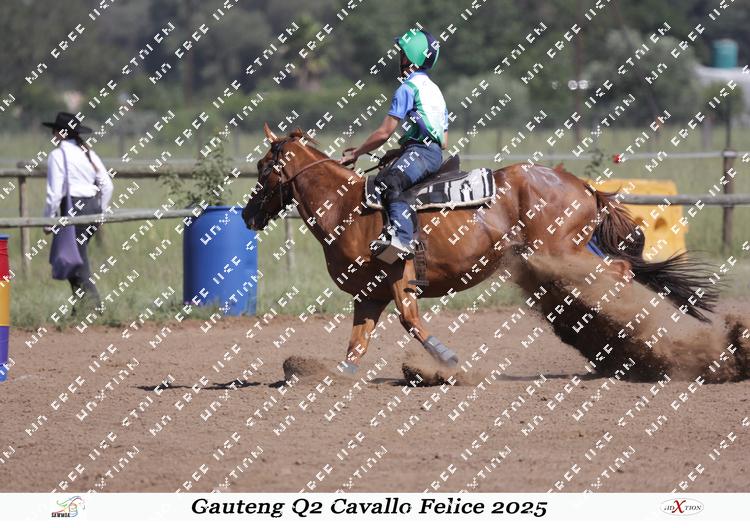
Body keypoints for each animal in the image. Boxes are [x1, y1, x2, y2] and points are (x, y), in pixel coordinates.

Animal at [242, 124, 719, 373]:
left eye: (264, 167)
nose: (246, 215)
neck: (350, 208)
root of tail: (585, 187)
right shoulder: (369, 294)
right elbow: (357, 343)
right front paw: (341, 376)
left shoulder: (399, 279)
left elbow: (411, 322)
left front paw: (447, 360)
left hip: (564, 252)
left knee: (619, 273)